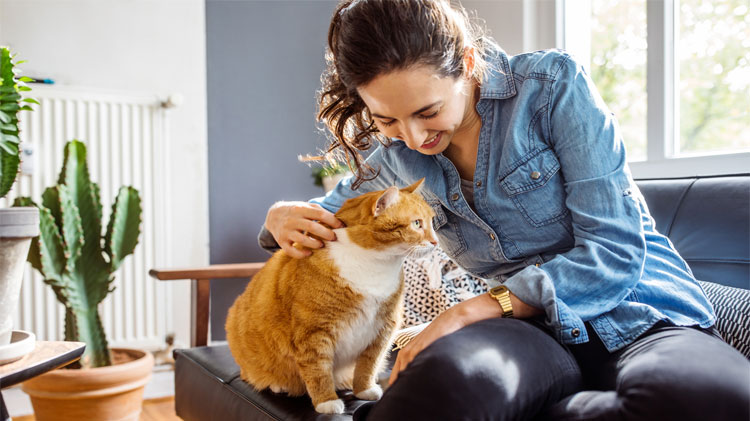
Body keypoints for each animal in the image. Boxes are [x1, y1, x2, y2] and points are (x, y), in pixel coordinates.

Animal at [228, 178, 440, 414]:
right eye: (417, 224)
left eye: (431, 222)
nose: (436, 242)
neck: (374, 265)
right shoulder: (313, 332)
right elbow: (318, 370)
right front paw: (326, 402)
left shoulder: (383, 328)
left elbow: (369, 364)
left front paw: (364, 389)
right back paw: (278, 384)